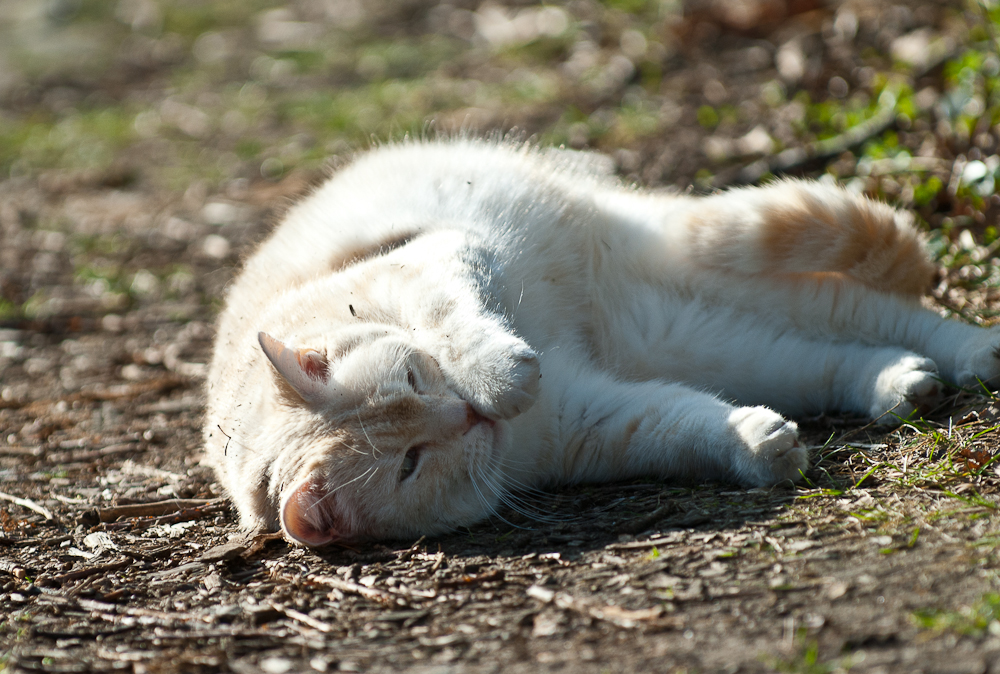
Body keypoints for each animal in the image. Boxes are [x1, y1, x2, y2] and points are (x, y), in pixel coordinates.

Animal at [203, 138, 1000, 544]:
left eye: (414, 379)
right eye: (410, 462)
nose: (469, 415)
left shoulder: (443, 260)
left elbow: (461, 325)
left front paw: (505, 374)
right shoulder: (592, 419)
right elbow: (683, 425)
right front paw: (756, 446)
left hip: (710, 277)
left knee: (882, 313)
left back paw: (974, 354)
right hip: (692, 337)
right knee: (829, 358)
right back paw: (899, 384)